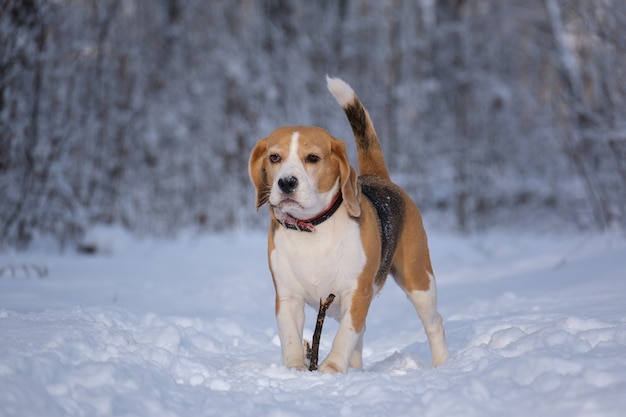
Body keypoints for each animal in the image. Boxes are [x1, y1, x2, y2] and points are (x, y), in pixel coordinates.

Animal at [246, 76, 446, 372]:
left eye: (313, 158)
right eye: (274, 158)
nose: (286, 182)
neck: (313, 229)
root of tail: (378, 176)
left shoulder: (357, 293)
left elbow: (345, 335)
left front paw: (330, 369)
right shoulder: (287, 296)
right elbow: (291, 337)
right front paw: (295, 369)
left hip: (419, 280)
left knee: (434, 323)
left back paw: (442, 362)